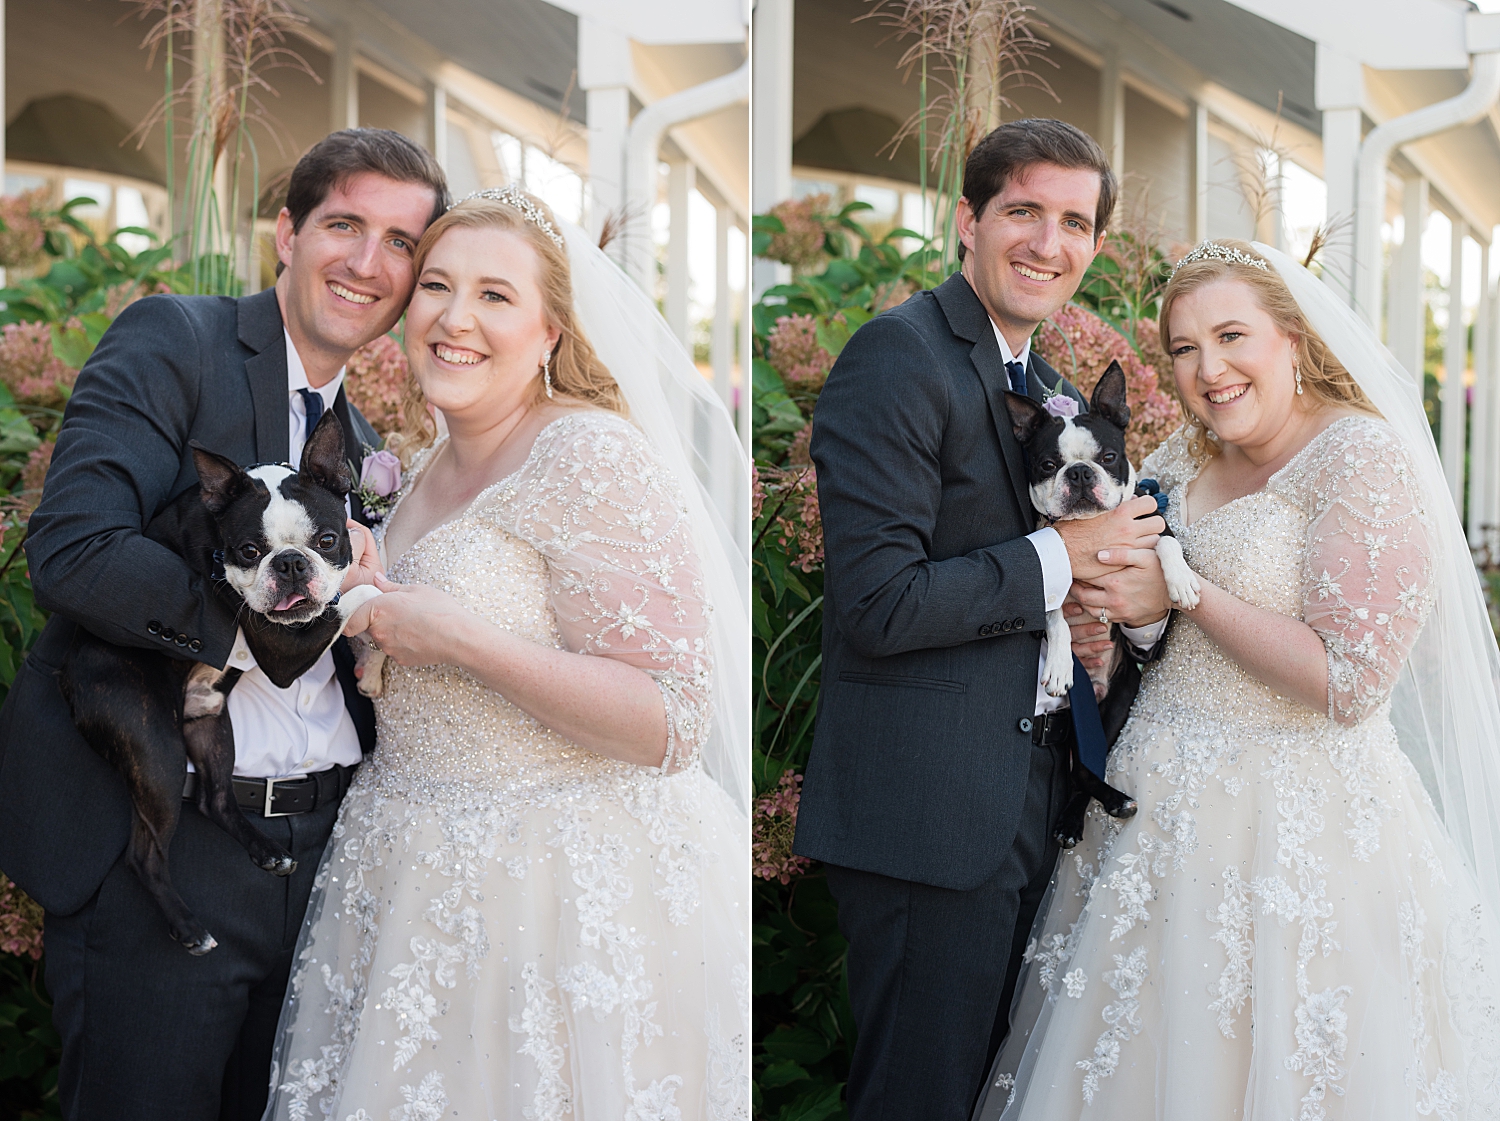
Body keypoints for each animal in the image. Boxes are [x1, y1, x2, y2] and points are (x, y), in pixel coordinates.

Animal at [59, 411, 384, 954]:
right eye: (249, 551)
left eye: (327, 540)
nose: (290, 563)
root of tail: (70, 680)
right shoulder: (281, 650)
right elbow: (364, 597)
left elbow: (359, 601)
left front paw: (376, 668)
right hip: (157, 751)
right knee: (143, 854)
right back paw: (190, 928)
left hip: (210, 724)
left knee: (216, 798)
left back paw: (267, 851)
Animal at [1002, 364, 1200, 846]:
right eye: (1047, 465)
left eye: (1108, 457)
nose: (1078, 473)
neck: (1093, 529)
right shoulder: (1049, 574)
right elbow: (1055, 618)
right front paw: (1058, 664)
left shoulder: (1153, 526)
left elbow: (1167, 546)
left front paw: (1181, 582)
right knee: (1082, 774)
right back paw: (1102, 807)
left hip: (1119, 702)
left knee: (1085, 771)